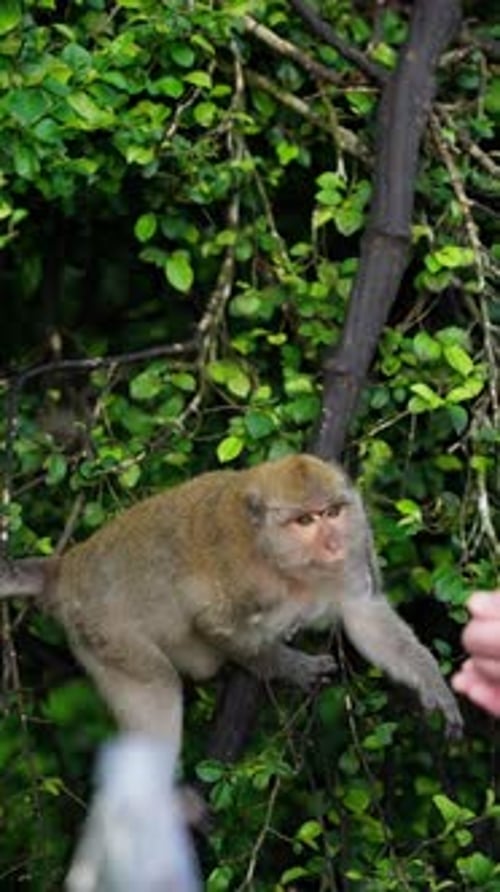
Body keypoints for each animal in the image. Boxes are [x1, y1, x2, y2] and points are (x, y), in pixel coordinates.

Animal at [0, 454, 463, 769]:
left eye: (332, 512)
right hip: (104, 633)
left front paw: (432, 684)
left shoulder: (355, 544)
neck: (284, 562)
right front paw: (288, 667)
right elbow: (215, 621)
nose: (332, 543)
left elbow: (366, 616)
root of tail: (66, 569)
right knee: (158, 687)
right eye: (305, 521)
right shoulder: (235, 571)